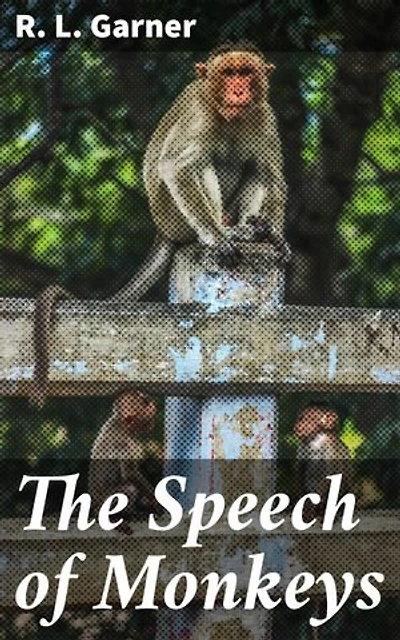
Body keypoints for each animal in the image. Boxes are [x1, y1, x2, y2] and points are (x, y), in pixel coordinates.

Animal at [31, 42, 290, 406]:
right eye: (228, 73)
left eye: (246, 73)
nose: (238, 90)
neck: (229, 117)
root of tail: (161, 229)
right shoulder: (199, 113)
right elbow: (175, 167)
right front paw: (216, 239)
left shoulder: (264, 116)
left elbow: (272, 176)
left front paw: (275, 237)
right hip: (172, 216)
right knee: (197, 163)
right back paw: (224, 231)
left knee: (255, 169)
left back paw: (253, 230)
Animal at [89, 388, 161, 534]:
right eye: (149, 419)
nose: (152, 424)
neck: (120, 425)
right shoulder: (121, 442)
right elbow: (129, 473)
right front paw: (155, 501)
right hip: (103, 500)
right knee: (130, 488)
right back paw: (106, 517)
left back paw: (130, 514)